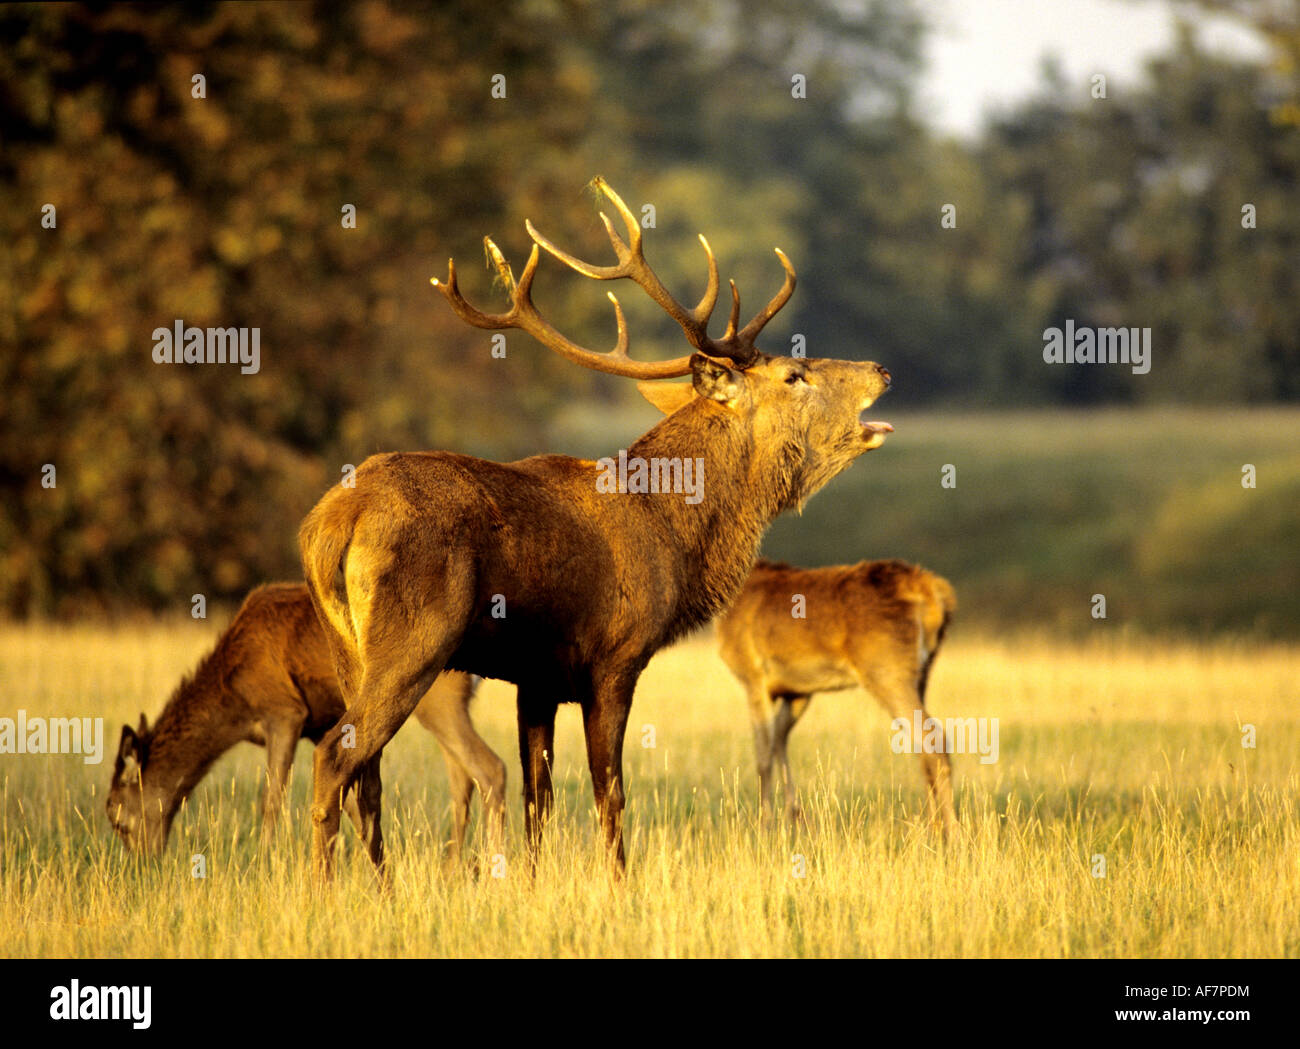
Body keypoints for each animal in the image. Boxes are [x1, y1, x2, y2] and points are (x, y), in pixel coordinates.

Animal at [106, 582, 505, 864]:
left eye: (118, 818)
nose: (143, 865)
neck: (234, 696)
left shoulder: (285, 711)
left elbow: (271, 799)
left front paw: (264, 862)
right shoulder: (318, 725)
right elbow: (349, 803)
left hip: (439, 699)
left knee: (489, 769)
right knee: (461, 778)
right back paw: (452, 867)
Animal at [298, 176, 894, 880]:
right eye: (793, 375)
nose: (881, 369)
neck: (674, 532)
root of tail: (334, 521)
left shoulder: (535, 676)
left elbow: (539, 797)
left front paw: (529, 883)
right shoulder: (615, 656)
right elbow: (610, 790)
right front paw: (619, 883)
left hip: (345, 648)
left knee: (368, 778)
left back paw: (382, 888)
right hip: (414, 638)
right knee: (337, 757)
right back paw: (325, 889)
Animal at [717, 558, 958, 833]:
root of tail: (933, 593)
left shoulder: (753, 675)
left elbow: (762, 755)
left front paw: (764, 825)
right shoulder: (798, 690)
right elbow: (780, 739)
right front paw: (795, 816)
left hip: (887, 670)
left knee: (932, 737)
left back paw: (952, 832)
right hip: (922, 673)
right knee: (921, 742)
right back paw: (933, 825)